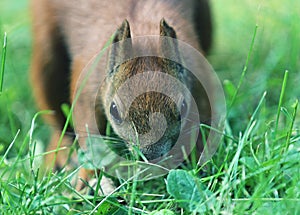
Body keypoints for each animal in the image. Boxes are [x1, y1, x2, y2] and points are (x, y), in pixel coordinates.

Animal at [30, 0, 212, 191]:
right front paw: (87, 178)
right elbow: (89, 138)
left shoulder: (200, 81)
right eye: (114, 110)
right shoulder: (87, 90)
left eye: (183, 108)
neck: (142, 32)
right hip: (46, 59)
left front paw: (201, 165)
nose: (150, 156)